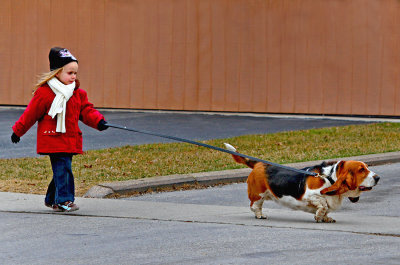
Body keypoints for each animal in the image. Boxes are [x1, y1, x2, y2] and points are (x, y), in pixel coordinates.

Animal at [223, 143, 380, 222]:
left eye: (366, 167)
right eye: (361, 170)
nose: (378, 178)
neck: (330, 178)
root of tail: (259, 164)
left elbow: (326, 209)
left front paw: (326, 218)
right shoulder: (310, 196)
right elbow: (323, 204)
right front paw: (319, 216)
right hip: (258, 195)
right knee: (255, 206)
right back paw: (260, 215)